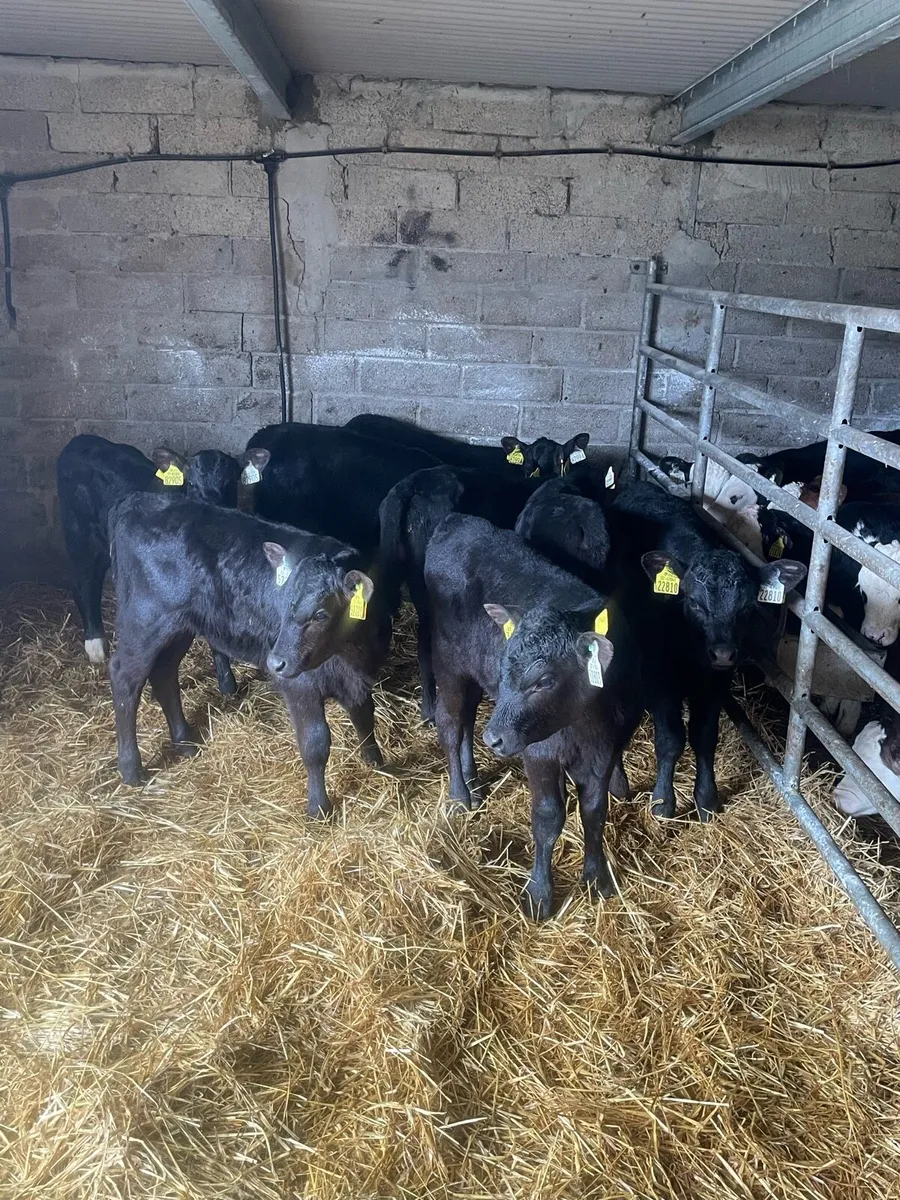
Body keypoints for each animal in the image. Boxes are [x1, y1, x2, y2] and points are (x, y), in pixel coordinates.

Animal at [57, 433, 245, 694]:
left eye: (230, 484)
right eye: (192, 485)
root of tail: (81, 439)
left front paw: (227, 684)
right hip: (78, 535)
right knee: (84, 582)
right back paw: (95, 647)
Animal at [108, 494, 390, 818]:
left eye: (321, 613)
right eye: (286, 601)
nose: (275, 662)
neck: (348, 653)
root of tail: (136, 500)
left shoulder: (358, 676)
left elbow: (365, 717)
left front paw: (377, 764)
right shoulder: (300, 685)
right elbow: (316, 743)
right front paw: (319, 807)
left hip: (181, 626)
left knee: (164, 674)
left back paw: (184, 741)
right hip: (144, 620)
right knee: (124, 678)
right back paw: (131, 768)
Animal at [424, 513, 643, 919]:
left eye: (543, 680)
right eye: (506, 665)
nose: (495, 738)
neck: (585, 721)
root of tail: (457, 520)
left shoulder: (605, 752)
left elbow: (594, 812)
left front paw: (597, 878)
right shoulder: (539, 753)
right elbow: (548, 817)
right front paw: (539, 894)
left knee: (468, 723)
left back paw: (474, 778)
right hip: (449, 661)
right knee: (450, 724)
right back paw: (460, 794)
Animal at [611, 482, 806, 820]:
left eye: (746, 606)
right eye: (694, 603)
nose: (723, 653)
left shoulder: (716, 683)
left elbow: (704, 737)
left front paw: (706, 798)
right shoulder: (660, 681)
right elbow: (671, 739)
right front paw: (663, 802)